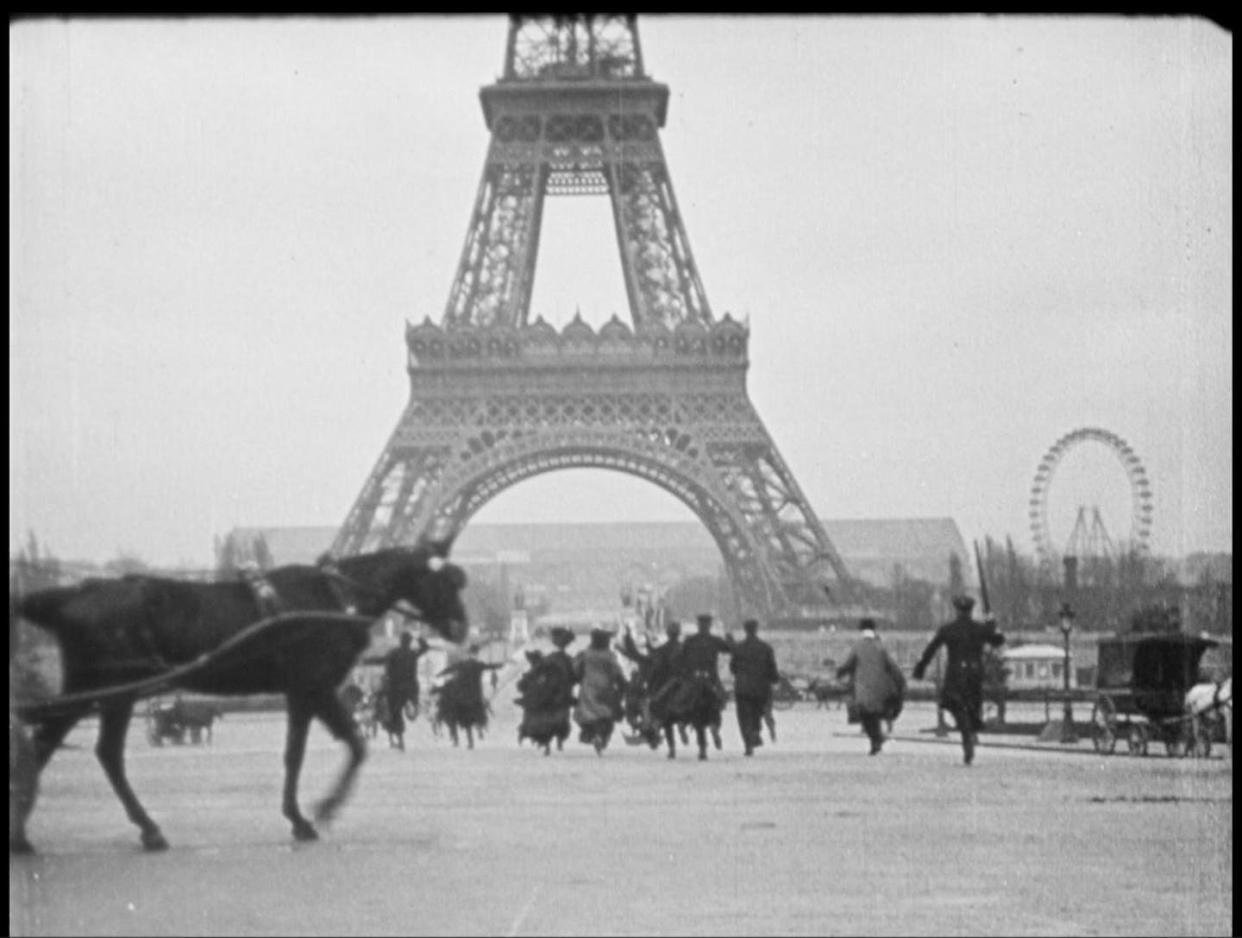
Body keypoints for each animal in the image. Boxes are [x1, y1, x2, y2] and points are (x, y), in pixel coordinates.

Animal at [12, 539, 466, 854]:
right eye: (446, 580)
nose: (461, 628)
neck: (337, 598)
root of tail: (71, 593)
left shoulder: (302, 692)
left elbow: (298, 753)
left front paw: (299, 816)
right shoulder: (314, 687)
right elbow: (350, 745)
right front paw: (322, 809)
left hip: (96, 689)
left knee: (52, 744)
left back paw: (29, 833)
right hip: (111, 690)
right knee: (95, 751)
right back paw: (142, 828)